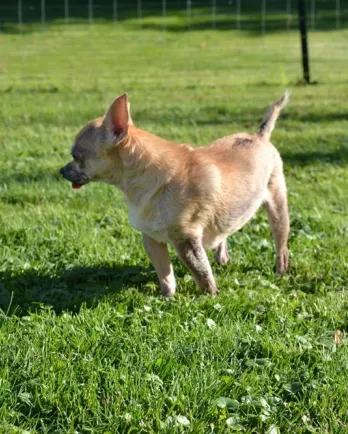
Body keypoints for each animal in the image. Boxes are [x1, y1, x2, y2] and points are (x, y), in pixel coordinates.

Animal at [60, 91, 290, 294]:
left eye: (76, 156)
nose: (61, 171)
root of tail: (259, 137)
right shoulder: (152, 239)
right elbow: (165, 274)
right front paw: (167, 297)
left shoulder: (186, 241)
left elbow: (202, 275)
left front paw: (211, 296)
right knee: (224, 232)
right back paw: (222, 256)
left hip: (277, 207)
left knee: (281, 244)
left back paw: (281, 270)